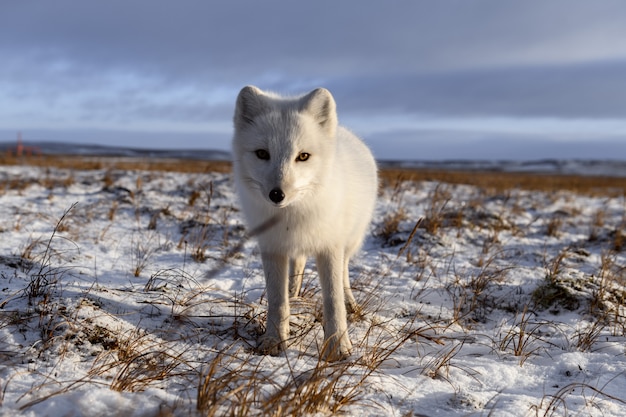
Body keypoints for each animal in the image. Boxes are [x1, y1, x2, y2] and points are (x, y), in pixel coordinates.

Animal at [230, 85, 372, 360]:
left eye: (303, 156)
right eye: (262, 154)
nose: (277, 195)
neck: (292, 216)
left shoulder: (330, 247)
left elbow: (333, 301)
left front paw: (338, 347)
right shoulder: (272, 247)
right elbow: (277, 301)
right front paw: (274, 340)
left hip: (350, 242)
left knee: (344, 274)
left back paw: (350, 302)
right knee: (298, 263)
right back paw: (294, 293)